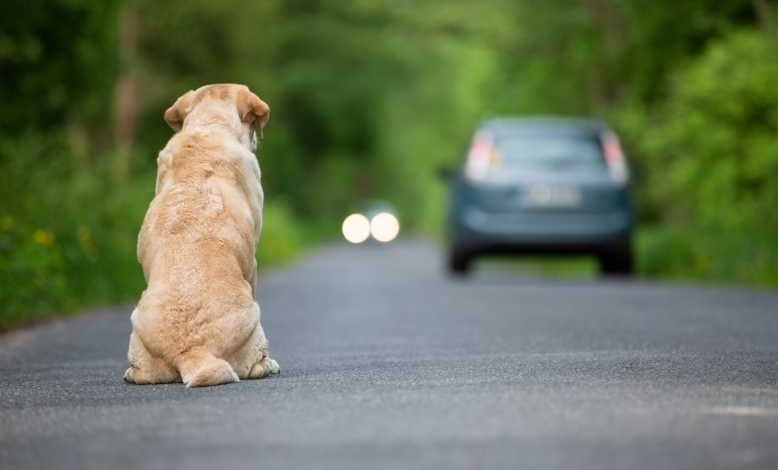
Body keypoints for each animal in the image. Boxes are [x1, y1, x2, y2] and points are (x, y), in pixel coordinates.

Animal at [121, 83, 278, 386]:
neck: (209, 125)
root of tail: (192, 350)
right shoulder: (252, 261)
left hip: (137, 327)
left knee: (139, 373)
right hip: (254, 319)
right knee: (255, 364)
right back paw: (269, 365)